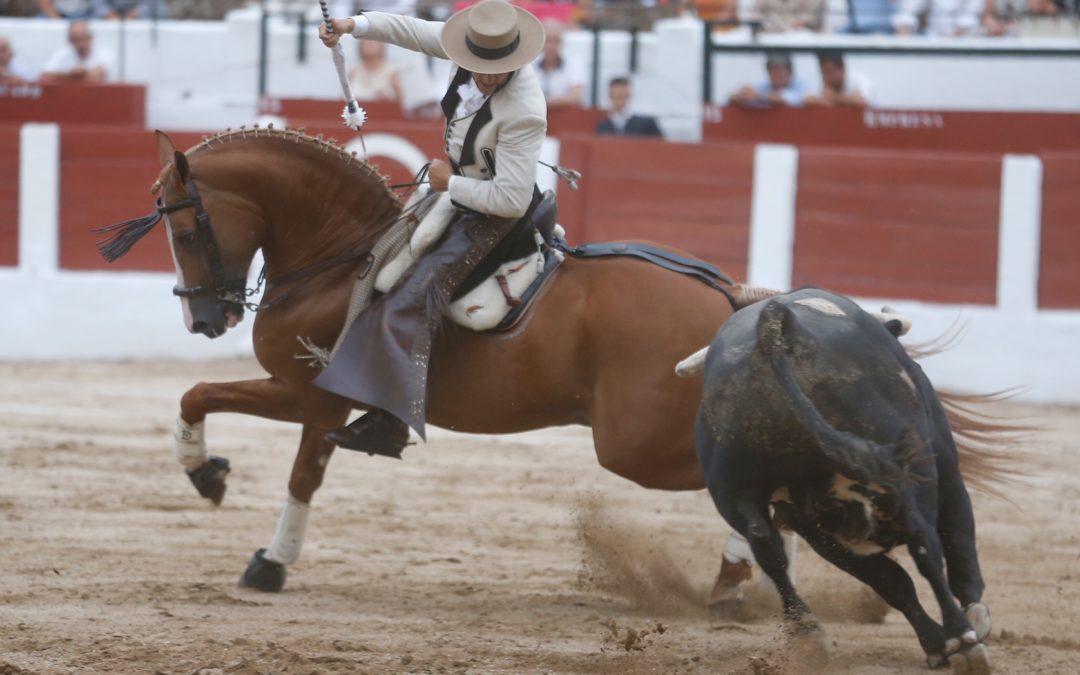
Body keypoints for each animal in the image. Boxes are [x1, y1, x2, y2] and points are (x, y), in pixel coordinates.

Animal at [101, 129, 738, 591]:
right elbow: (290, 464)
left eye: (185, 233)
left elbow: (215, 405)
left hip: (634, 445)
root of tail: (730, 299)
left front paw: (215, 488)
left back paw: (737, 580)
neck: (342, 260)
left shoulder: (308, 393)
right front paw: (261, 546)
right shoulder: (319, 403)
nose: (204, 321)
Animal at [695, 287, 989, 669]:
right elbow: (957, 551)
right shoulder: (947, 472)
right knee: (927, 546)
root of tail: (775, 325)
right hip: (904, 478)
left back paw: (807, 632)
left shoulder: (814, 528)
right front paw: (967, 627)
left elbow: (893, 582)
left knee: (767, 548)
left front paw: (936, 644)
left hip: (737, 492)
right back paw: (963, 637)